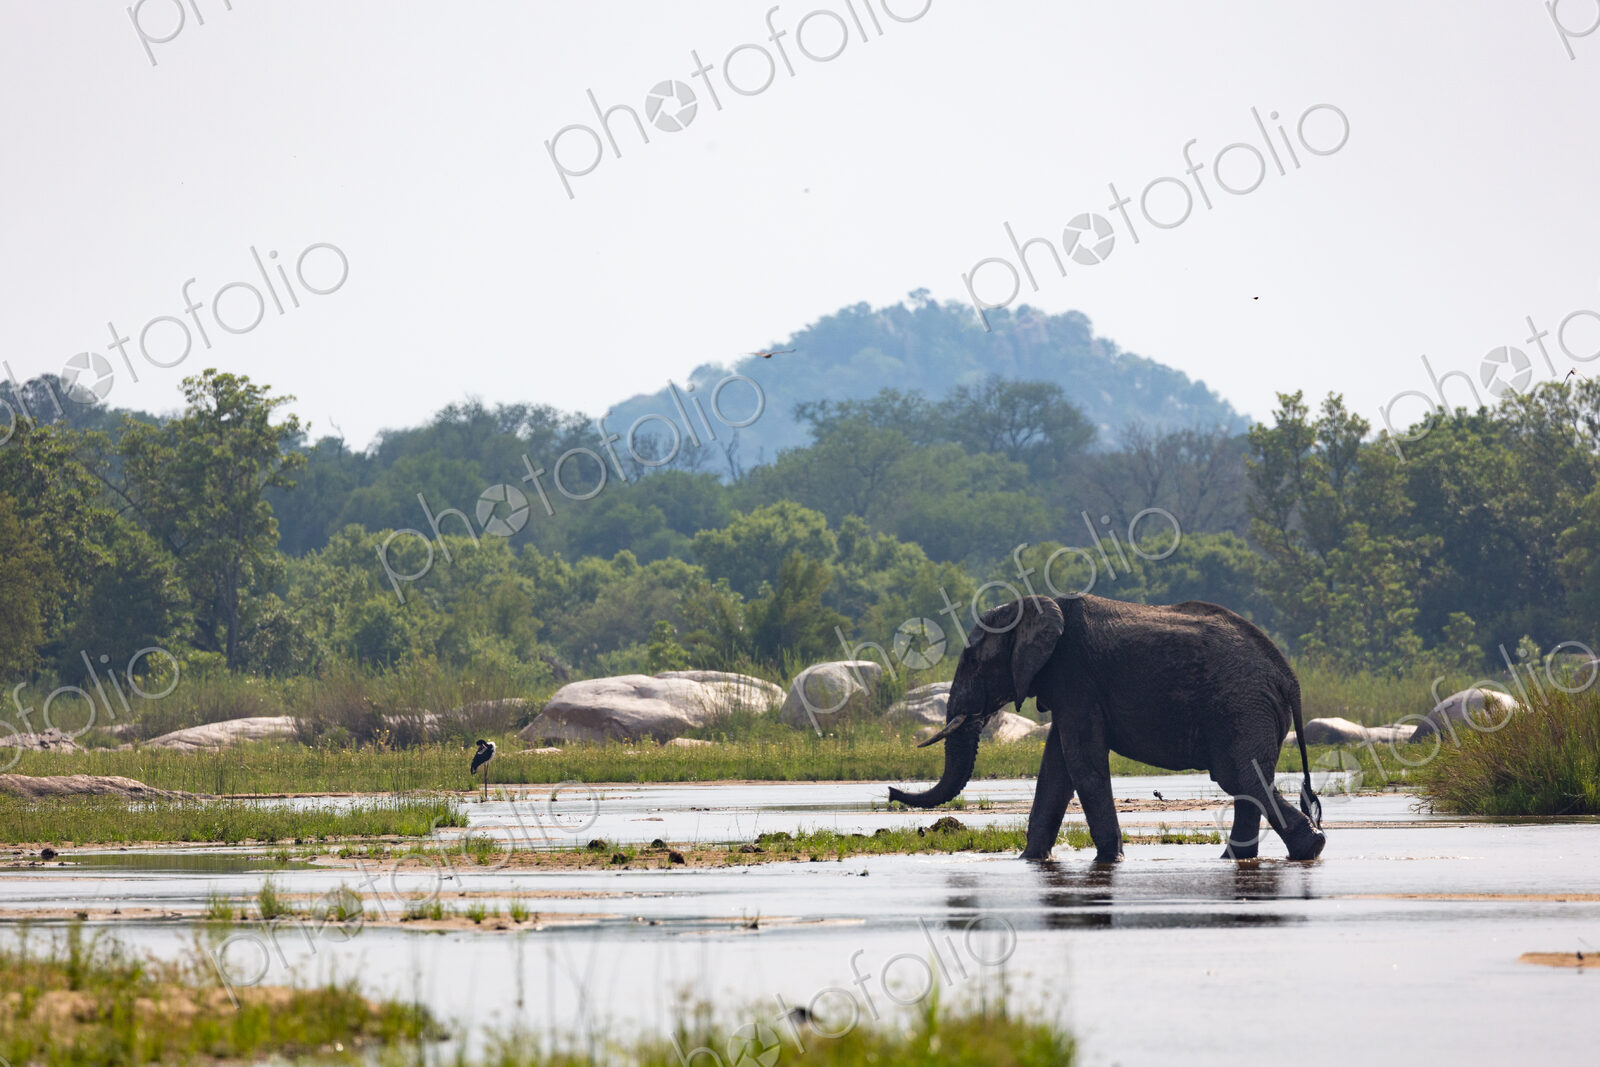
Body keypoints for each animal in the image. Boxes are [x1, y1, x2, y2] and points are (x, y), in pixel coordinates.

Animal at [888, 594, 1325, 863]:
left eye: (974, 661)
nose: (891, 791)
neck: (1034, 604)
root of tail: (1290, 678)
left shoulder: (1075, 676)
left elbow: (1082, 763)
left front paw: (1109, 860)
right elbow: (1056, 771)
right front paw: (1029, 860)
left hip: (1242, 705)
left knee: (1240, 777)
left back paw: (1310, 848)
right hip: (1249, 708)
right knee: (1248, 781)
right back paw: (1237, 858)